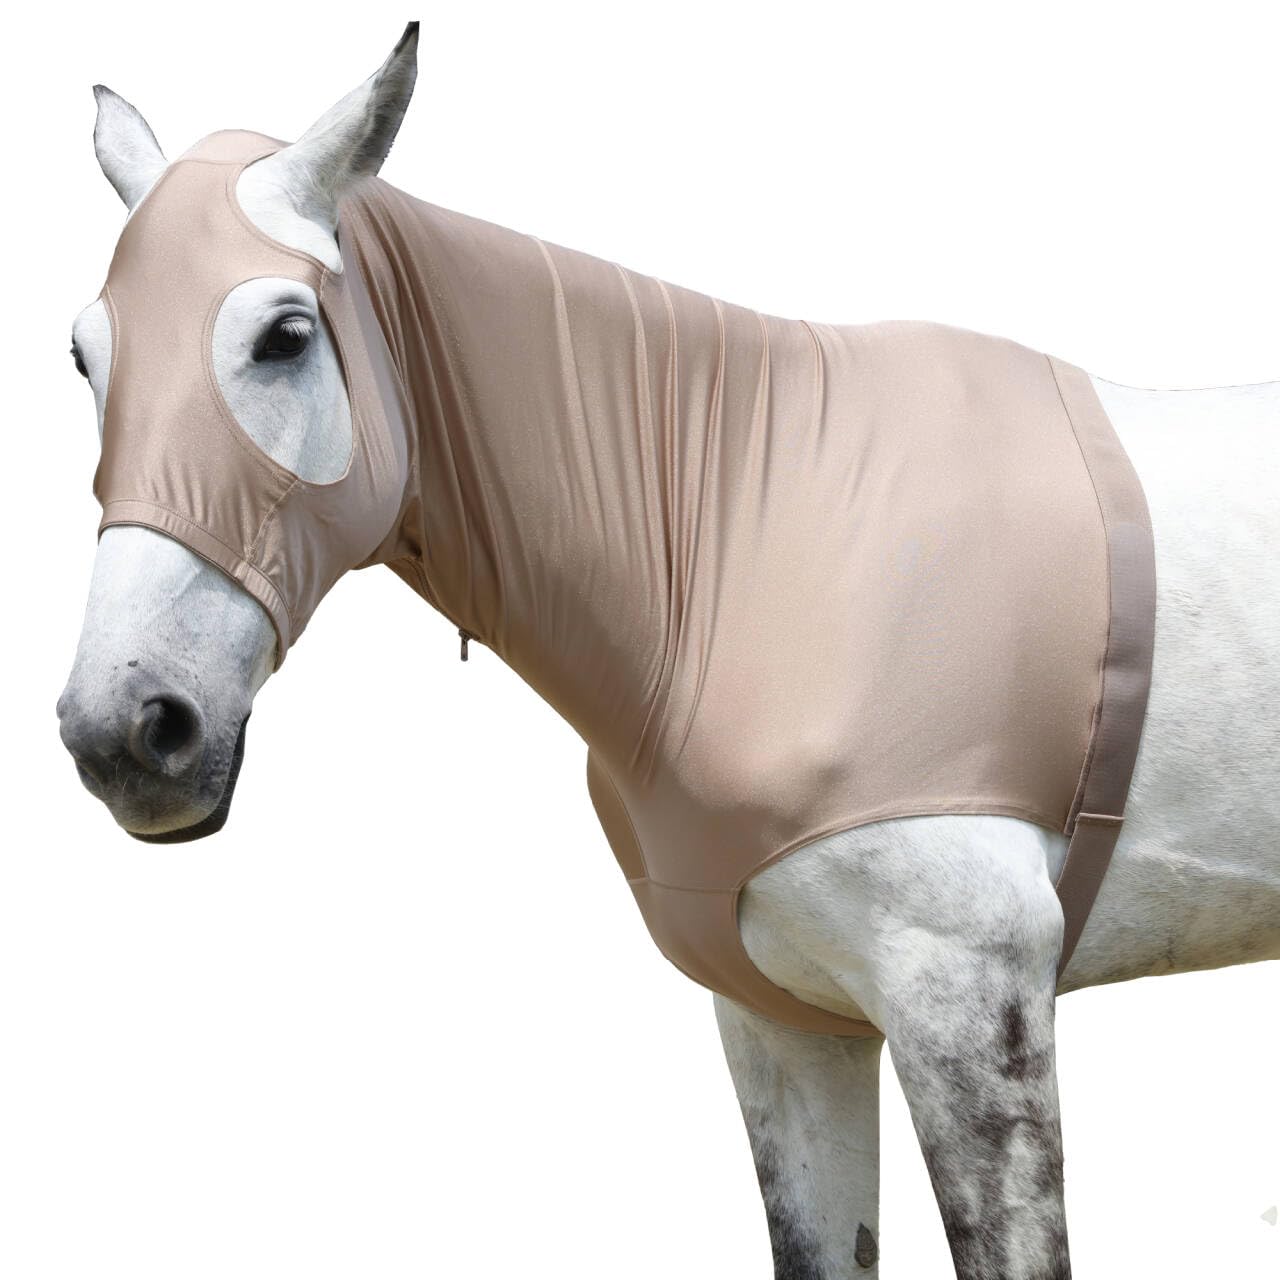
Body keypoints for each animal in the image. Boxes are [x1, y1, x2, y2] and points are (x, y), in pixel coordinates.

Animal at [56, 24, 1278, 1280]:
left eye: (286, 335)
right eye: (83, 355)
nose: (127, 732)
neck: (755, 539)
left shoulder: (971, 1001)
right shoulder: (784, 1020)